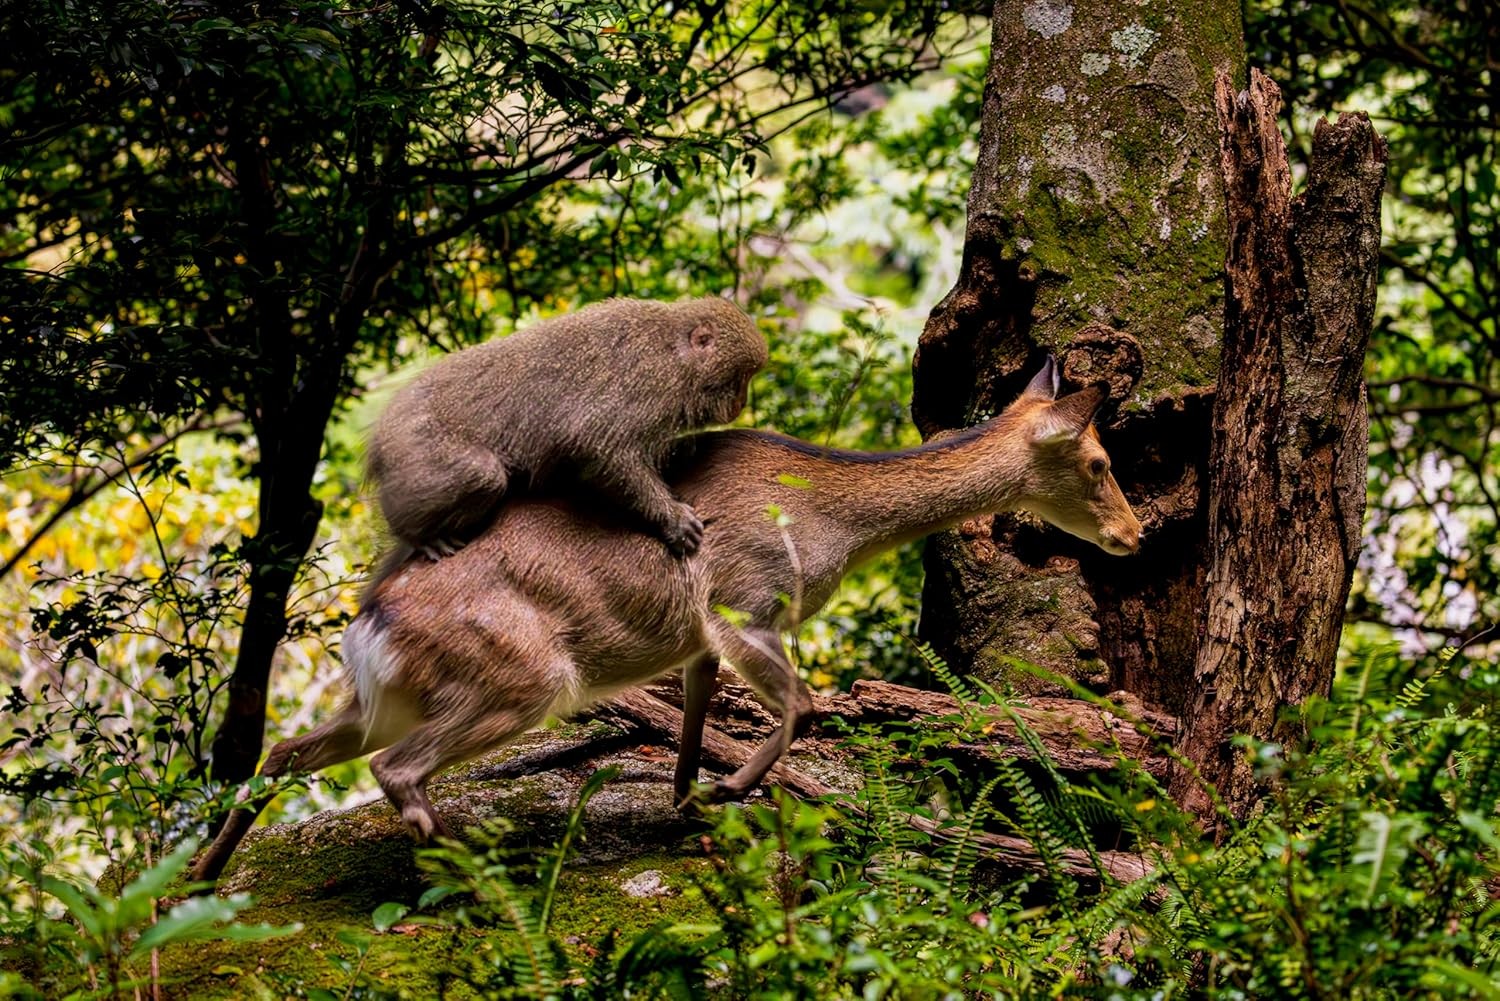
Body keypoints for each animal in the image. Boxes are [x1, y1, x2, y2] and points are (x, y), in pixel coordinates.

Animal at [192, 357, 1141, 884]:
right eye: (1099, 461)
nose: (1134, 534)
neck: (830, 525)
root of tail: (367, 629)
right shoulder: (746, 601)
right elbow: (804, 705)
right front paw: (728, 789)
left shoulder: (700, 642)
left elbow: (694, 722)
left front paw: (690, 799)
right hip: (521, 676)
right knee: (393, 769)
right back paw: (465, 861)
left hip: (383, 699)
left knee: (284, 752)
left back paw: (199, 878)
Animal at [365, 296, 768, 565]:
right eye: (741, 379)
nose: (742, 402)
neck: (676, 352)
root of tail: (381, 433)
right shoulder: (652, 383)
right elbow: (597, 445)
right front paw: (671, 519)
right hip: (416, 441)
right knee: (482, 474)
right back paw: (416, 534)